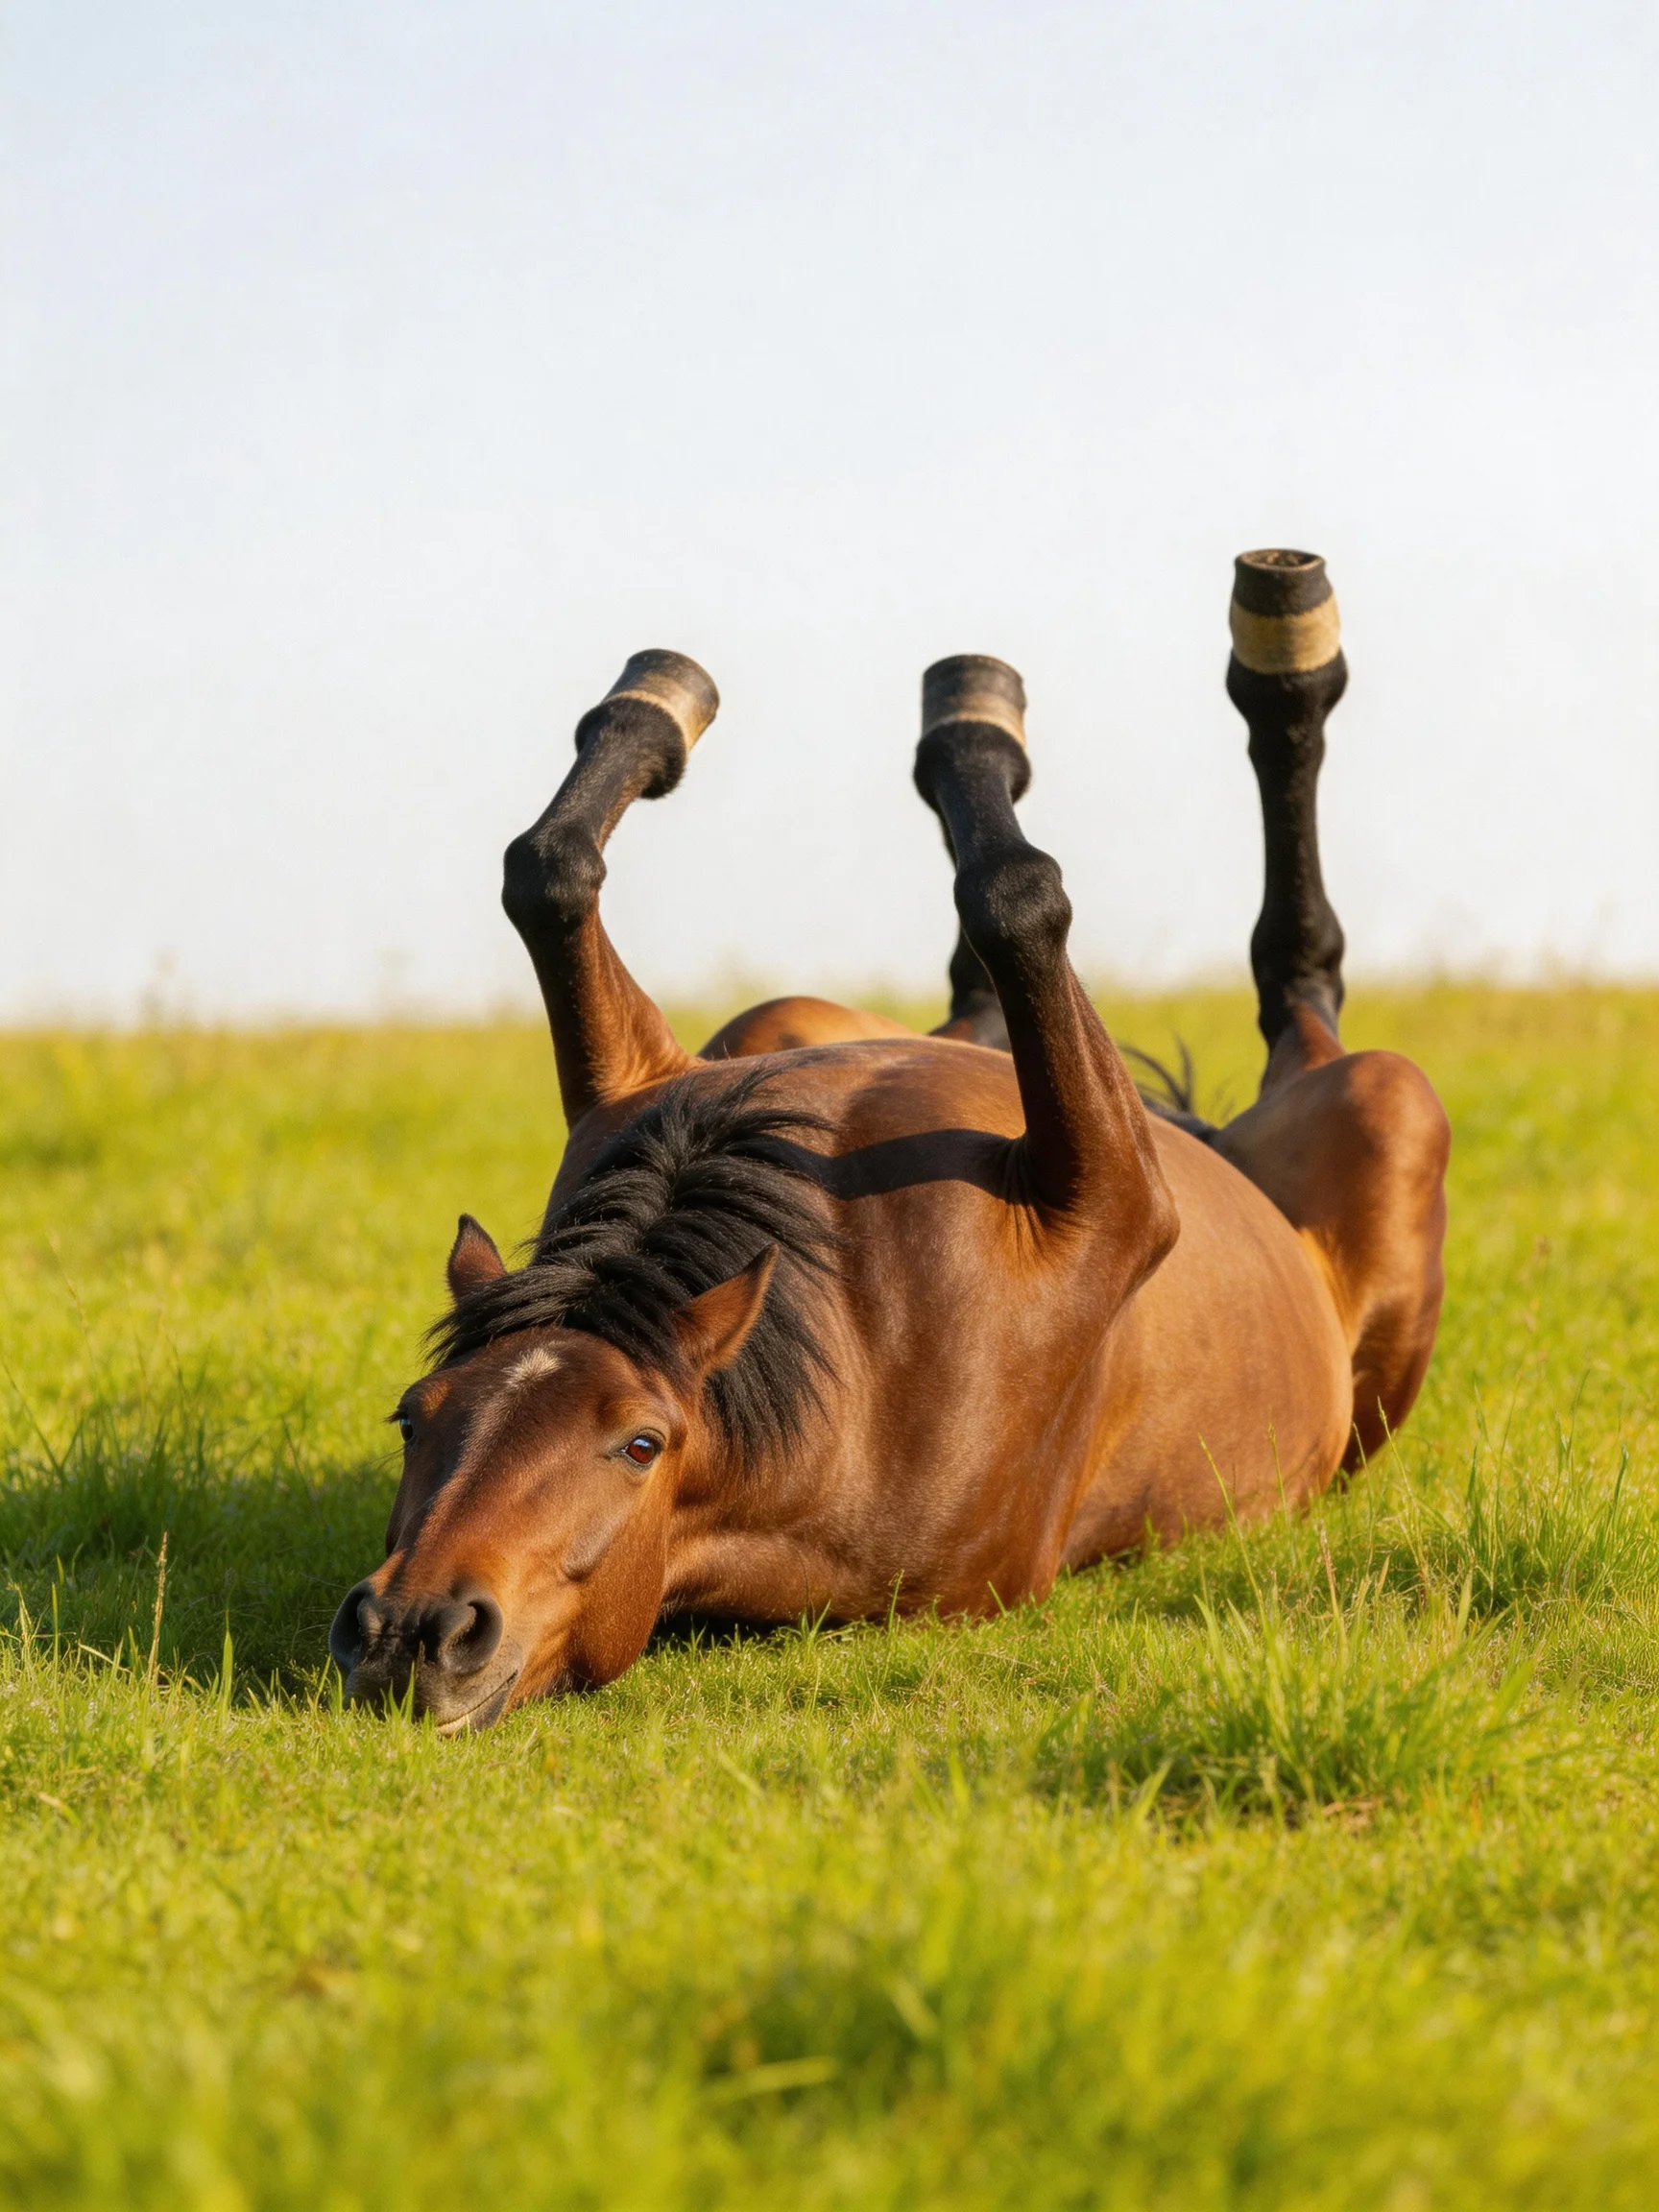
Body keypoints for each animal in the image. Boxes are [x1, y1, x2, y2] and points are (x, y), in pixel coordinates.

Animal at [329, 549, 1449, 1731]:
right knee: (1239, 986)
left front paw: (658, 707)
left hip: (1386, 1106)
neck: (859, 1338)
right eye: (412, 1417)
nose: (411, 1634)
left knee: (1273, 971)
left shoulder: (1116, 1200)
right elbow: (555, 873)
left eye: (640, 1442)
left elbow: (1008, 893)